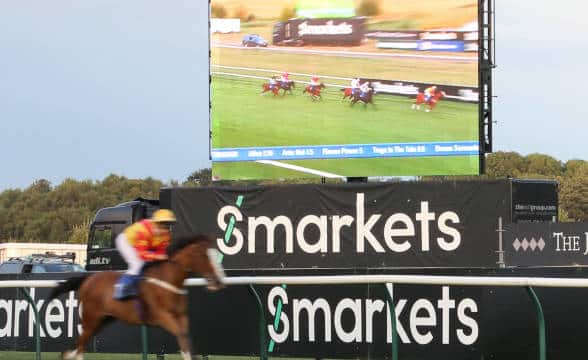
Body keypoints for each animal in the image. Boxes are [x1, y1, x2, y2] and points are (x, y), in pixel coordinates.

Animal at [50, 235, 225, 358]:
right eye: (203, 255)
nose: (218, 281)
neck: (168, 280)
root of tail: (88, 279)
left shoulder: (181, 316)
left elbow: (186, 339)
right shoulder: (162, 316)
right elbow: (181, 335)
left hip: (102, 320)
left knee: (79, 347)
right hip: (91, 318)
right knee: (78, 347)